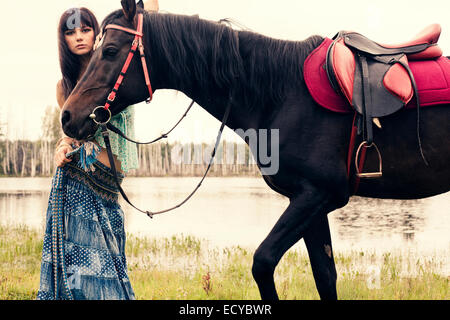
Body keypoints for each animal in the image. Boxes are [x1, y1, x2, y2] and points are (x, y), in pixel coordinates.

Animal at [60, 0, 450, 300]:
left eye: (110, 51)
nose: (68, 116)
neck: (282, 91)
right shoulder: (310, 203)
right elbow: (325, 277)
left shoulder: (317, 195)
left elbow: (262, 263)